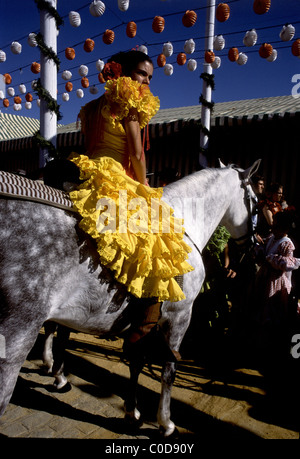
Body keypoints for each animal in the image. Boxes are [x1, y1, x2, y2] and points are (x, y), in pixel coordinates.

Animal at [0, 162, 258, 438]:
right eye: (255, 201)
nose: (254, 243)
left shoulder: (143, 321)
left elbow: (136, 362)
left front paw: (132, 412)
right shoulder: (179, 316)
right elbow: (168, 370)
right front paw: (165, 423)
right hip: (16, 336)